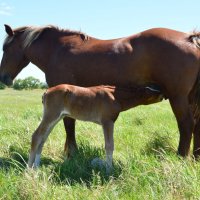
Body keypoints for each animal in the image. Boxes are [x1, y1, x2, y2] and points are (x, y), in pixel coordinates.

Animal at [0, 24, 200, 158]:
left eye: (5, 47)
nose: (3, 77)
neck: (57, 50)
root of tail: (189, 38)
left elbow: (69, 124)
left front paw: (71, 152)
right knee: (196, 125)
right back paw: (196, 157)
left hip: (178, 97)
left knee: (186, 125)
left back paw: (181, 157)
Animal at [27, 84, 162, 170]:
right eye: (149, 90)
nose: (161, 93)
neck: (115, 96)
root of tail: (46, 92)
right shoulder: (107, 122)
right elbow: (109, 146)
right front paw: (109, 170)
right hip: (51, 115)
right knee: (36, 136)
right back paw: (29, 169)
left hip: (57, 117)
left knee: (43, 138)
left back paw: (36, 167)